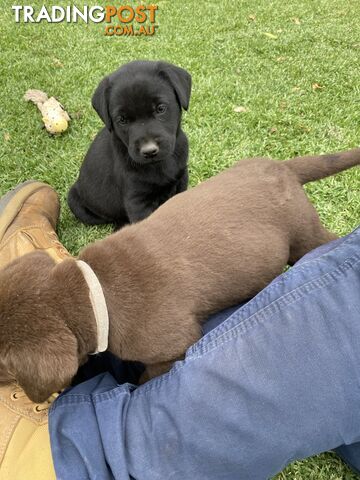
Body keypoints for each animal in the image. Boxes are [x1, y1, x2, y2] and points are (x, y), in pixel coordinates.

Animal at [67, 60, 191, 229]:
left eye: (160, 108)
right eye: (122, 119)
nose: (149, 151)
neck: (159, 165)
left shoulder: (181, 179)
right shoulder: (137, 200)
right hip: (75, 202)